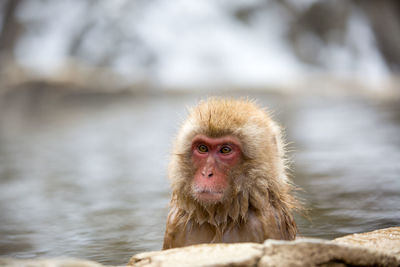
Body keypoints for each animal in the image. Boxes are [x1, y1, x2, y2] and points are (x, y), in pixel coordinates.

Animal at [162, 98, 296, 251]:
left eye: (225, 150)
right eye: (202, 148)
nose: (206, 173)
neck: (221, 218)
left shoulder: (265, 223)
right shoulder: (174, 224)